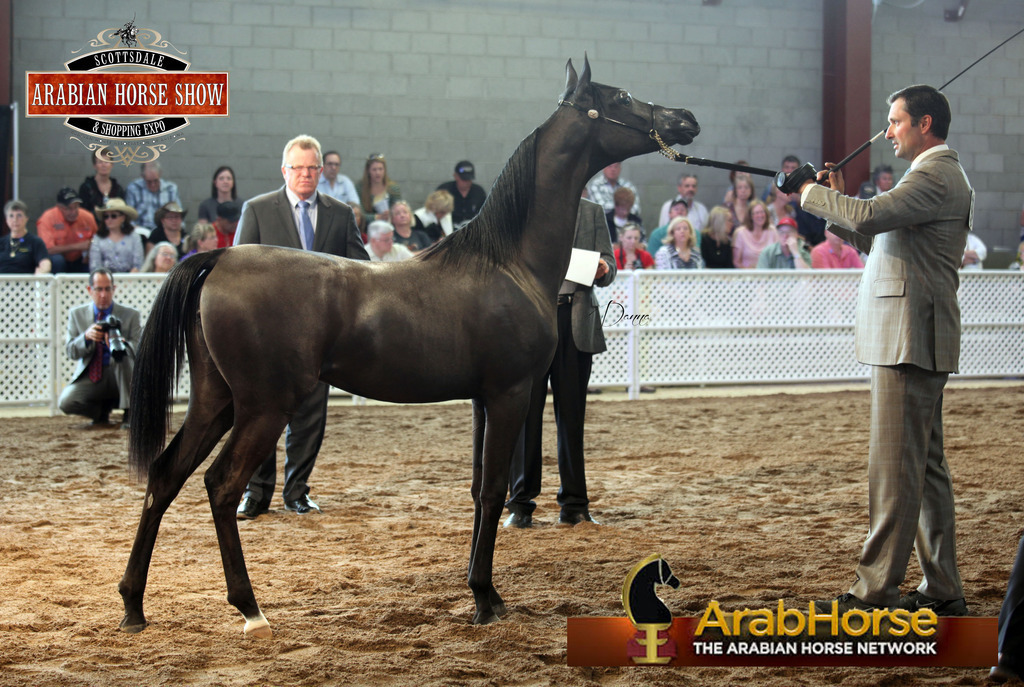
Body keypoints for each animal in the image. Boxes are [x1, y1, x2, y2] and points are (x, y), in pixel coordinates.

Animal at [119, 56, 700, 638]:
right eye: (620, 96)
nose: (685, 119)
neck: (508, 262)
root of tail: (218, 258)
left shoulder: (482, 400)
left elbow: (477, 490)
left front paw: (480, 589)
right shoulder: (511, 393)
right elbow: (494, 489)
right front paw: (485, 598)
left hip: (215, 401)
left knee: (165, 476)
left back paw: (133, 605)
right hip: (263, 406)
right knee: (221, 486)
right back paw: (250, 609)